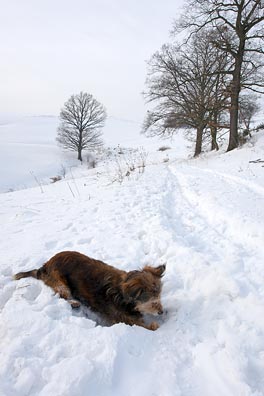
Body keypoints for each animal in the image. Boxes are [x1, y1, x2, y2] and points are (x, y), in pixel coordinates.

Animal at [13, 251, 165, 332]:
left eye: (159, 297)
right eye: (153, 302)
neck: (122, 295)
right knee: (61, 295)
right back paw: (74, 302)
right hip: (61, 282)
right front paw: (154, 325)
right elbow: (145, 327)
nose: (162, 312)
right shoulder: (123, 318)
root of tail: (44, 266)